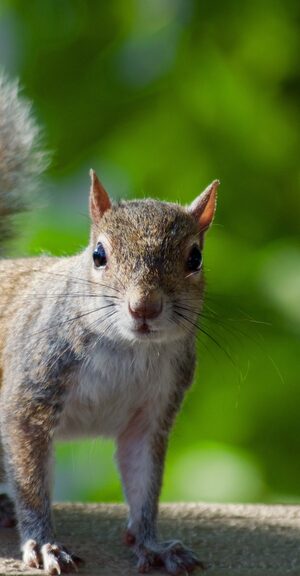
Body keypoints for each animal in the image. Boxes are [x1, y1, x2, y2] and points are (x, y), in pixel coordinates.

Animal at [0, 74, 219, 572]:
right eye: (98, 254)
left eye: (195, 258)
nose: (145, 307)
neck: (128, 349)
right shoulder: (32, 392)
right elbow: (31, 480)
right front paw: (43, 544)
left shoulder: (152, 413)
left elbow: (143, 484)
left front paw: (152, 544)